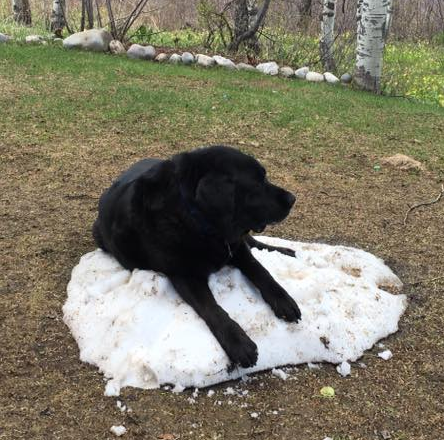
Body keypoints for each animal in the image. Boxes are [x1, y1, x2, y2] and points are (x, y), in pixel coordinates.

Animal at [93, 145, 302, 368]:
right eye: (257, 183)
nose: (292, 199)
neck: (197, 222)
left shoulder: (236, 248)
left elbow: (261, 271)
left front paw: (283, 300)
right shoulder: (186, 275)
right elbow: (212, 308)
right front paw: (238, 342)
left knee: (253, 242)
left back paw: (286, 251)